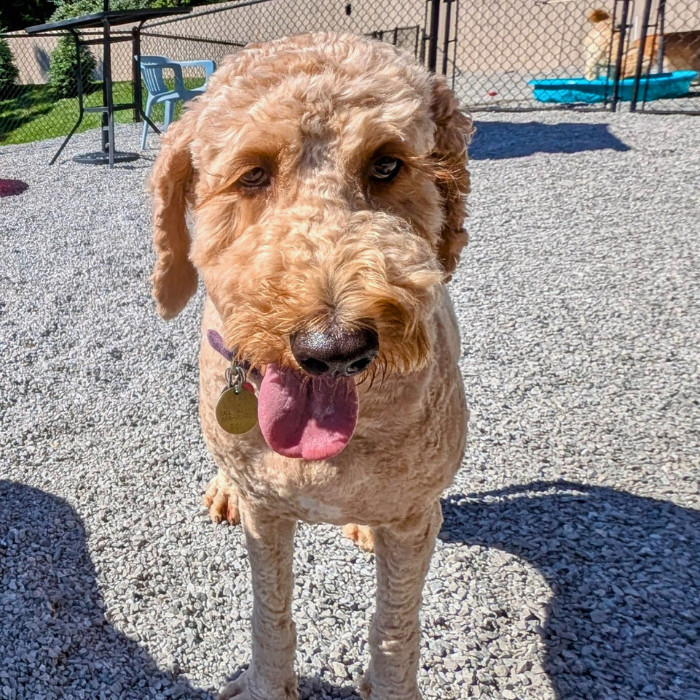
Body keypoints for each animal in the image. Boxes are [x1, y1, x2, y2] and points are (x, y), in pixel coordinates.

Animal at [150, 31, 474, 700]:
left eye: (387, 164)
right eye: (252, 174)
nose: (335, 349)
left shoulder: (413, 520)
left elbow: (395, 628)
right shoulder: (267, 514)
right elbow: (269, 612)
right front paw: (267, 685)